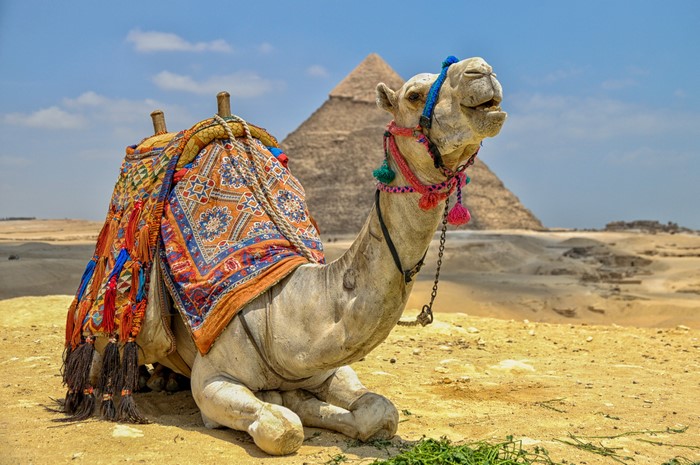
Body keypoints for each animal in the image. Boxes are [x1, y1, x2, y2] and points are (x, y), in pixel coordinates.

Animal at [83, 56, 506, 456]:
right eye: (414, 95)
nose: (481, 70)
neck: (285, 309)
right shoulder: (212, 380)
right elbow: (284, 428)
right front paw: (283, 405)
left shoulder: (328, 367)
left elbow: (379, 412)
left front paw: (304, 402)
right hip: (113, 324)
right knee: (100, 363)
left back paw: (166, 377)